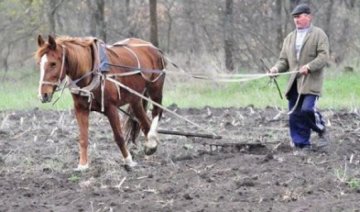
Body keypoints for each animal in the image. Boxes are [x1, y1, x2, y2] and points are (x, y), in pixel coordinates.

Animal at [34, 34, 167, 171]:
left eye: (53, 63)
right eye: (39, 63)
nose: (43, 95)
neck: (91, 72)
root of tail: (152, 47)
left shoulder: (111, 108)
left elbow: (118, 136)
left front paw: (128, 161)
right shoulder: (80, 108)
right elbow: (83, 138)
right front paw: (83, 165)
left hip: (155, 87)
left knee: (157, 111)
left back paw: (151, 141)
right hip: (135, 98)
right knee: (144, 122)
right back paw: (150, 146)